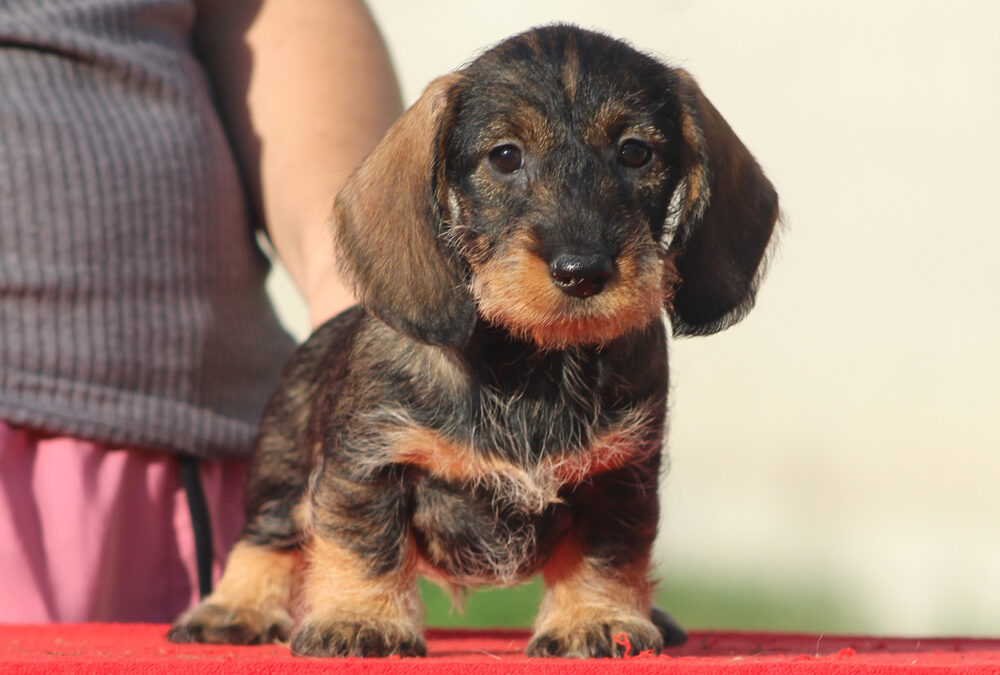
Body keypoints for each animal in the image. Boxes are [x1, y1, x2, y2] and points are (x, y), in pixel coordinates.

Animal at [168, 23, 776, 656]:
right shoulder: (367, 464)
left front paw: (594, 617)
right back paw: (236, 606)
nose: (582, 271)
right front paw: (362, 619)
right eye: (505, 156)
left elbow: (606, 556)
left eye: (636, 152)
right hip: (280, 472)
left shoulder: (618, 477)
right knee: (267, 537)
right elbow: (366, 545)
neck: (533, 366)